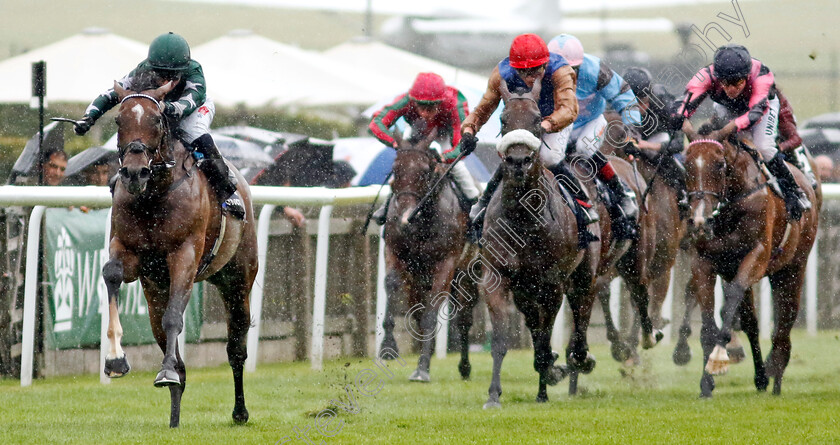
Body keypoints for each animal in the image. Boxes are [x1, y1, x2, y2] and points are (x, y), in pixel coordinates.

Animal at [100, 80, 256, 426]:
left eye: (158, 120)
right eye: (118, 120)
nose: (134, 173)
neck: (154, 197)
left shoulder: (184, 254)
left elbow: (175, 317)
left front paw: (165, 372)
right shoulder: (128, 251)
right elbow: (112, 273)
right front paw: (115, 359)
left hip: (238, 280)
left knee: (236, 348)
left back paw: (240, 411)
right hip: (155, 290)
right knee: (164, 336)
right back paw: (174, 416)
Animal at [378, 126, 470, 380]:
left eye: (425, 171)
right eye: (395, 170)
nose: (404, 217)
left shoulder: (446, 263)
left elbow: (431, 312)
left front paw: (422, 369)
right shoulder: (394, 251)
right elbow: (391, 284)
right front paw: (388, 347)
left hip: (468, 271)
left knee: (464, 317)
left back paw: (465, 366)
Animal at [480, 78, 596, 408]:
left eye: (536, 120)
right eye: (503, 120)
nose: (518, 160)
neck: (523, 216)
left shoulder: (552, 283)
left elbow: (545, 338)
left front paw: (548, 381)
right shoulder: (497, 276)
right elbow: (503, 338)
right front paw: (493, 395)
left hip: (584, 273)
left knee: (582, 310)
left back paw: (578, 361)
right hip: (524, 289)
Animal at [684, 133, 820, 396]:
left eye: (720, 165)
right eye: (687, 165)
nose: (699, 220)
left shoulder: (757, 255)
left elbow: (730, 304)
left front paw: (718, 359)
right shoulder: (704, 262)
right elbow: (709, 323)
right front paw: (706, 383)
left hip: (793, 267)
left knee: (785, 321)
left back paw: (776, 373)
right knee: (751, 323)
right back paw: (762, 377)